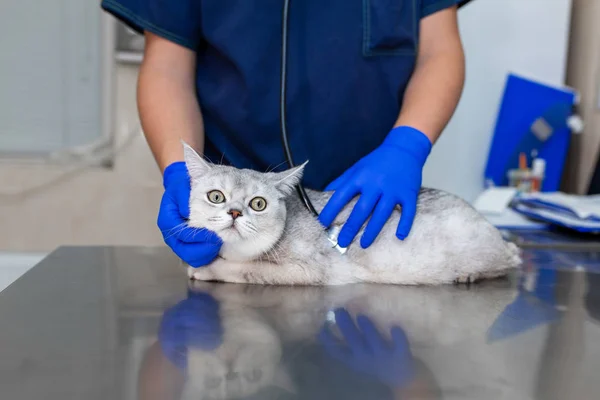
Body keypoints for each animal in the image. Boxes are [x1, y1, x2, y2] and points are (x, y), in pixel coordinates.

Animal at [182, 142, 520, 286]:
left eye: (258, 204)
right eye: (216, 196)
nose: (235, 212)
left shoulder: (307, 270)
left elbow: (243, 270)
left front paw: (207, 268)